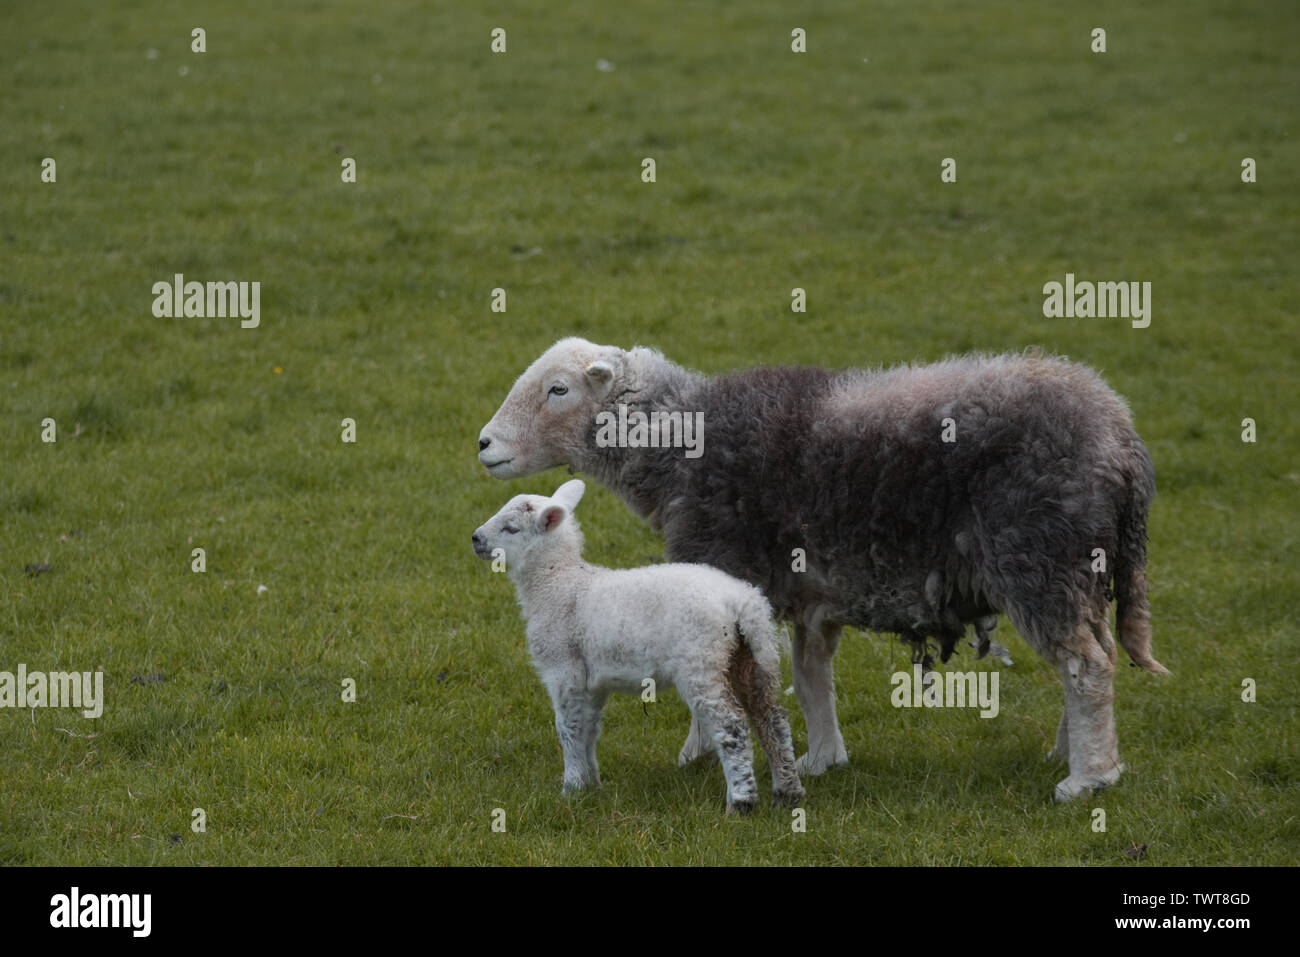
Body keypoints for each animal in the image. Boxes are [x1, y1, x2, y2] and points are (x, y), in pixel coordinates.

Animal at [473, 478, 806, 816]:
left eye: (511, 528)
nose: (475, 538)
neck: (559, 583)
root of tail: (742, 601)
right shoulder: (592, 680)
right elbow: (589, 728)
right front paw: (592, 784)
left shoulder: (563, 668)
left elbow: (568, 727)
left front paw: (571, 788)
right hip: (752, 656)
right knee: (771, 718)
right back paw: (787, 792)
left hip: (702, 659)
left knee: (732, 724)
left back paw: (741, 802)